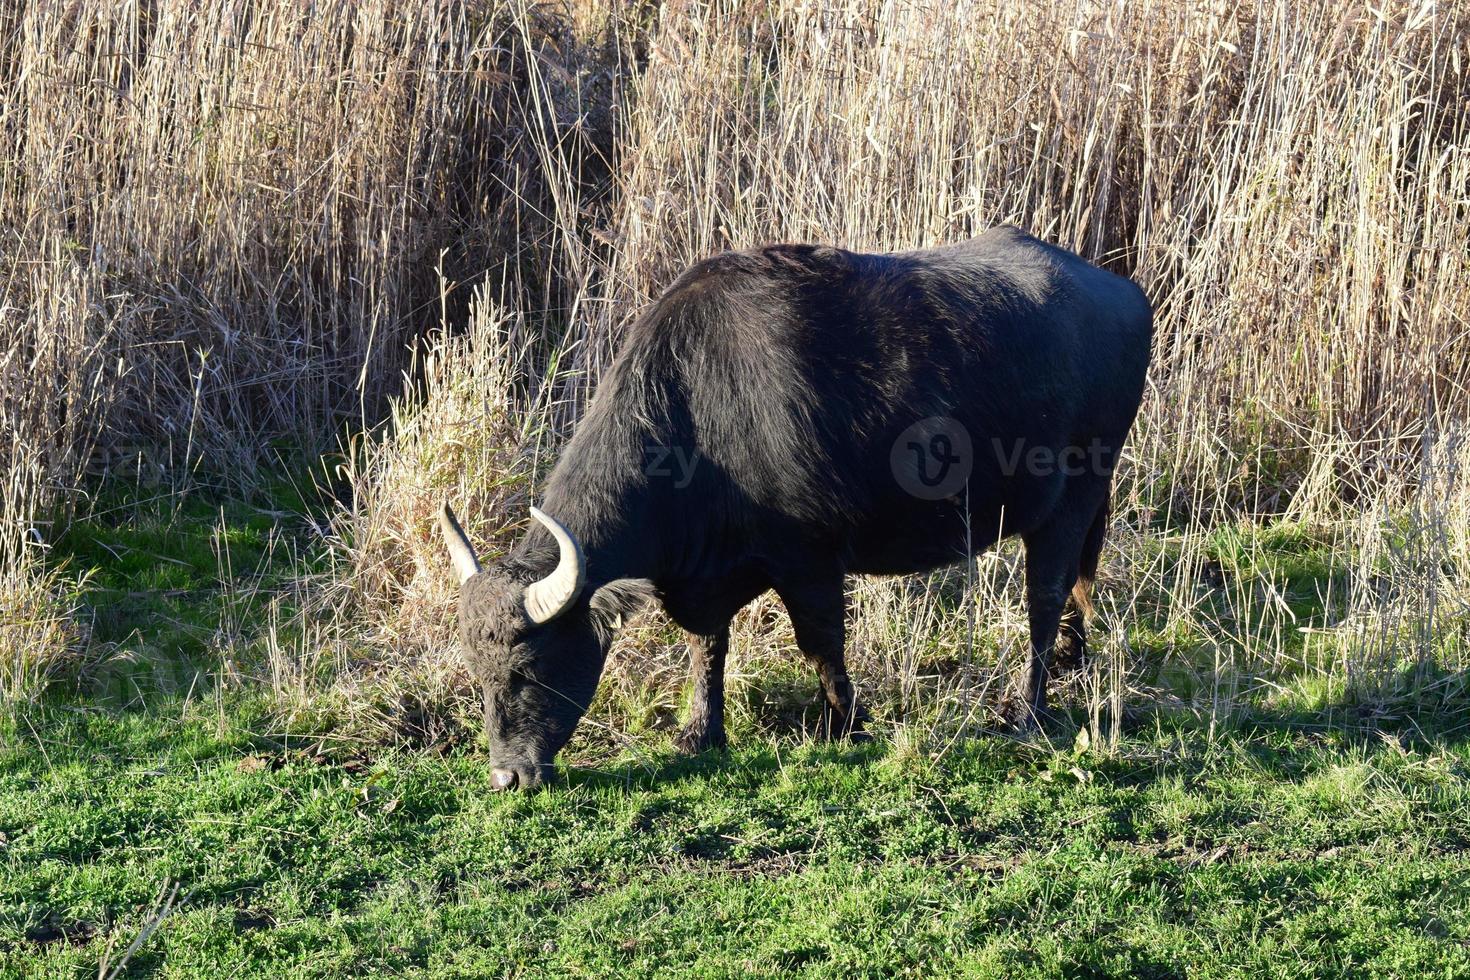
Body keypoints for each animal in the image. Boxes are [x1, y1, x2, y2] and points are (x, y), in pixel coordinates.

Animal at [435, 227, 1146, 787]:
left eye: (528, 667)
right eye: (474, 673)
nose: (507, 777)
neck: (696, 413)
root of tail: (1121, 293)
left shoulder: (810, 561)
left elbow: (822, 642)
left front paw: (847, 724)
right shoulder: (708, 576)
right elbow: (707, 645)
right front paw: (701, 732)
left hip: (1069, 501)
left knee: (1045, 596)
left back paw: (1028, 708)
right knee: (1076, 586)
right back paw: (1072, 664)